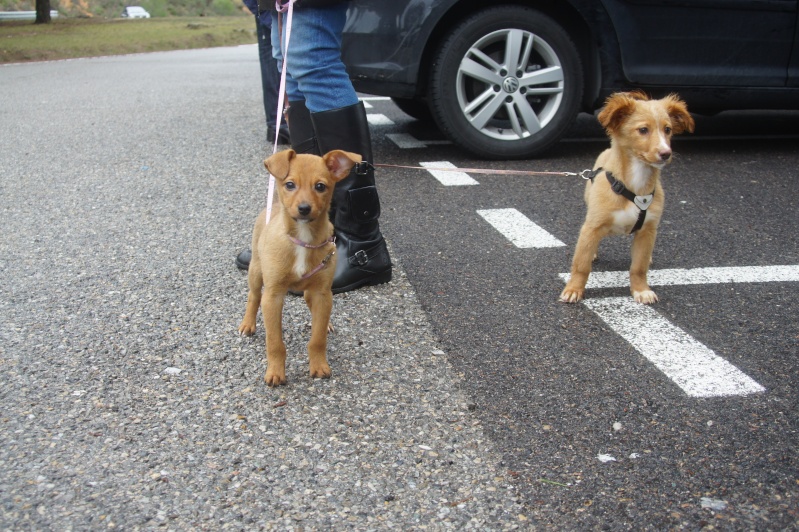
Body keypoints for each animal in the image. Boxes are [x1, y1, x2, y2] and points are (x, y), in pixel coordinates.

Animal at [239, 148, 360, 384]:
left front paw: (319, 365)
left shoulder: (322, 293)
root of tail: (274, 205)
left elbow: (318, 338)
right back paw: (248, 323)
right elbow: (275, 342)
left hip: (313, 291)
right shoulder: (273, 296)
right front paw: (275, 372)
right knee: (254, 296)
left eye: (320, 186)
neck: (303, 241)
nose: (304, 208)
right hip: (256, 271)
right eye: (290, 184)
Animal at [564, 92, 692, 304]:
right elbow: (581, 264)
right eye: (643, 130)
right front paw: (574, 289)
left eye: (668, 129)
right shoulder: (593, 226)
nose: (666, 153)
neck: (634, 188)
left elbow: (638, 267)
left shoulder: (648, 230)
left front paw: (641, 290)